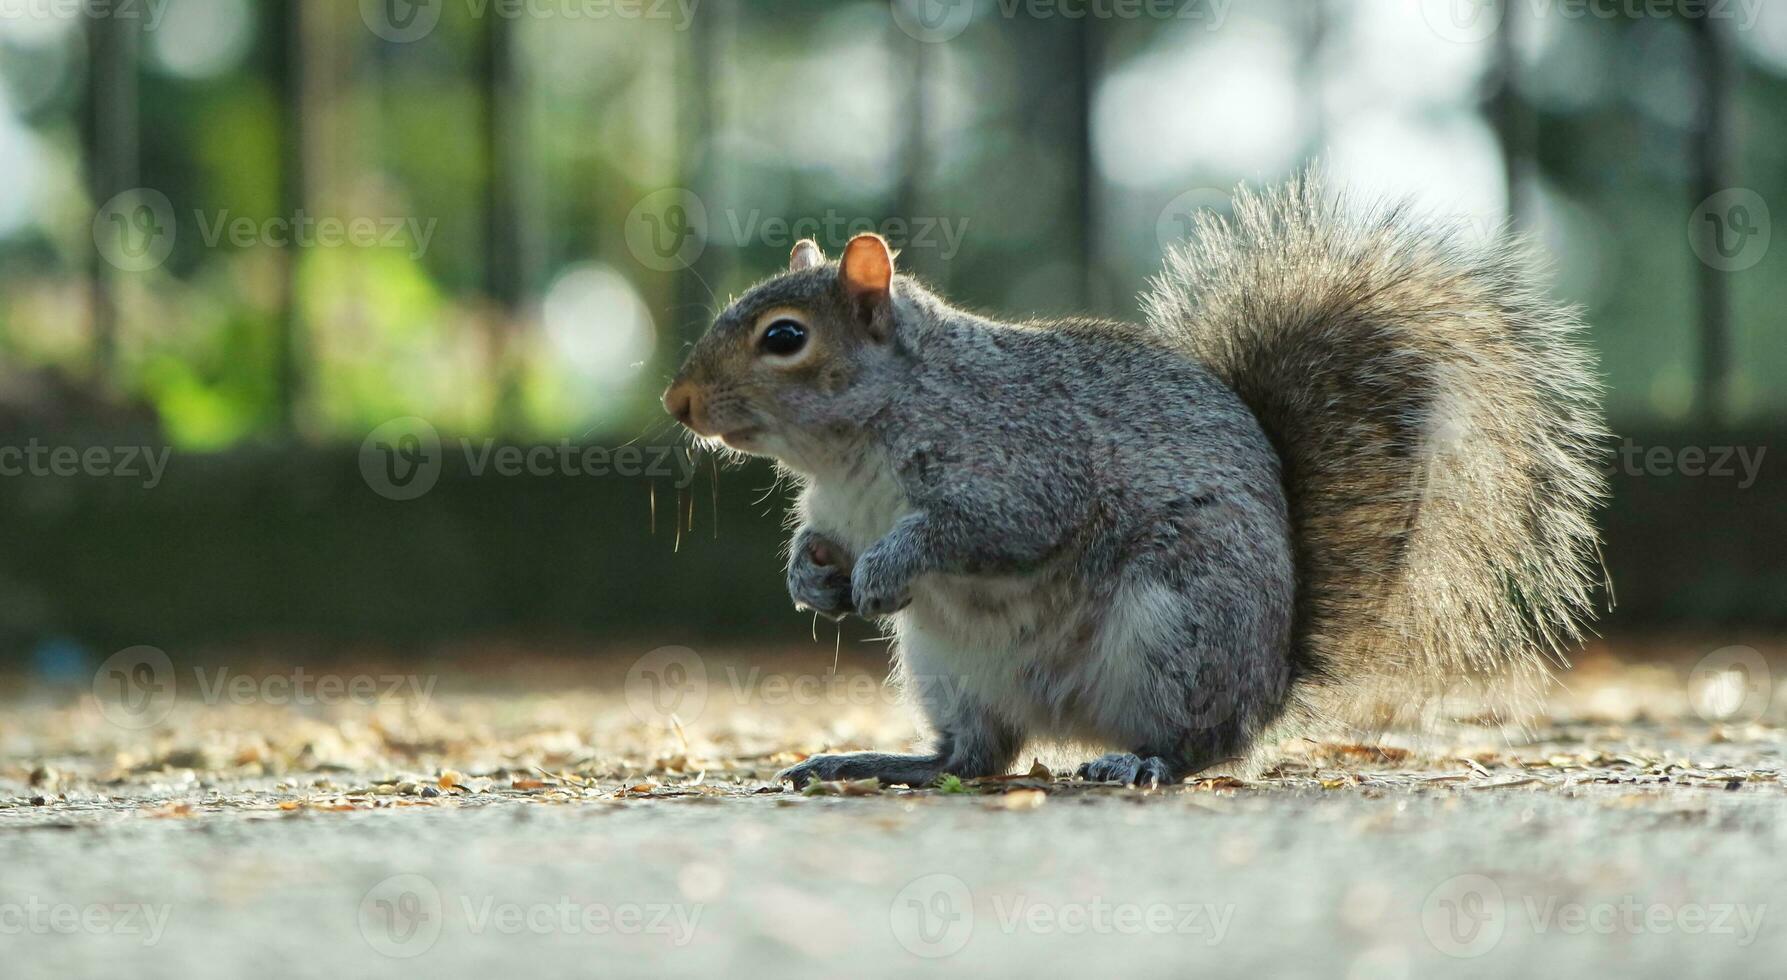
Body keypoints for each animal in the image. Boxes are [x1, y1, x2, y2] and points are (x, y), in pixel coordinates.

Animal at [661, 176, 1608, 786]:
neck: (852, 452)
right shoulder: (837, 510)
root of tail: (1270, 682)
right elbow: (819, 542)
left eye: (785, 337)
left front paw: (889, 565)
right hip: (946, 670)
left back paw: (1140, 760)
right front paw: (810, 579)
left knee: (1201, 743)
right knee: (975, 756)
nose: (677, 403)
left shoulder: (1027, 466)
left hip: (1180, 624)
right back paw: (884, 763)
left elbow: (981, 530)